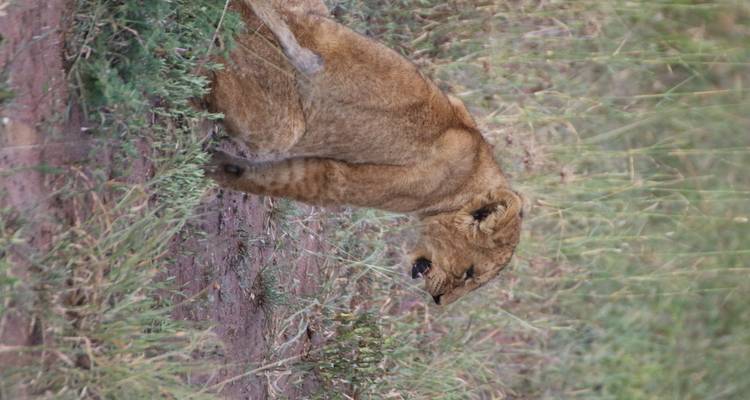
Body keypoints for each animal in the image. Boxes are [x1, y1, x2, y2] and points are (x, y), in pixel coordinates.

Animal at [205, 0, 523, 305]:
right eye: (470, 273)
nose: (439, 302)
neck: (469, 177)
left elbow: (257, 173)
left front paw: (215, 166)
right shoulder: (340, 182)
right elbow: (275, 181)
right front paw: (208, 171)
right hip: (282, 129)